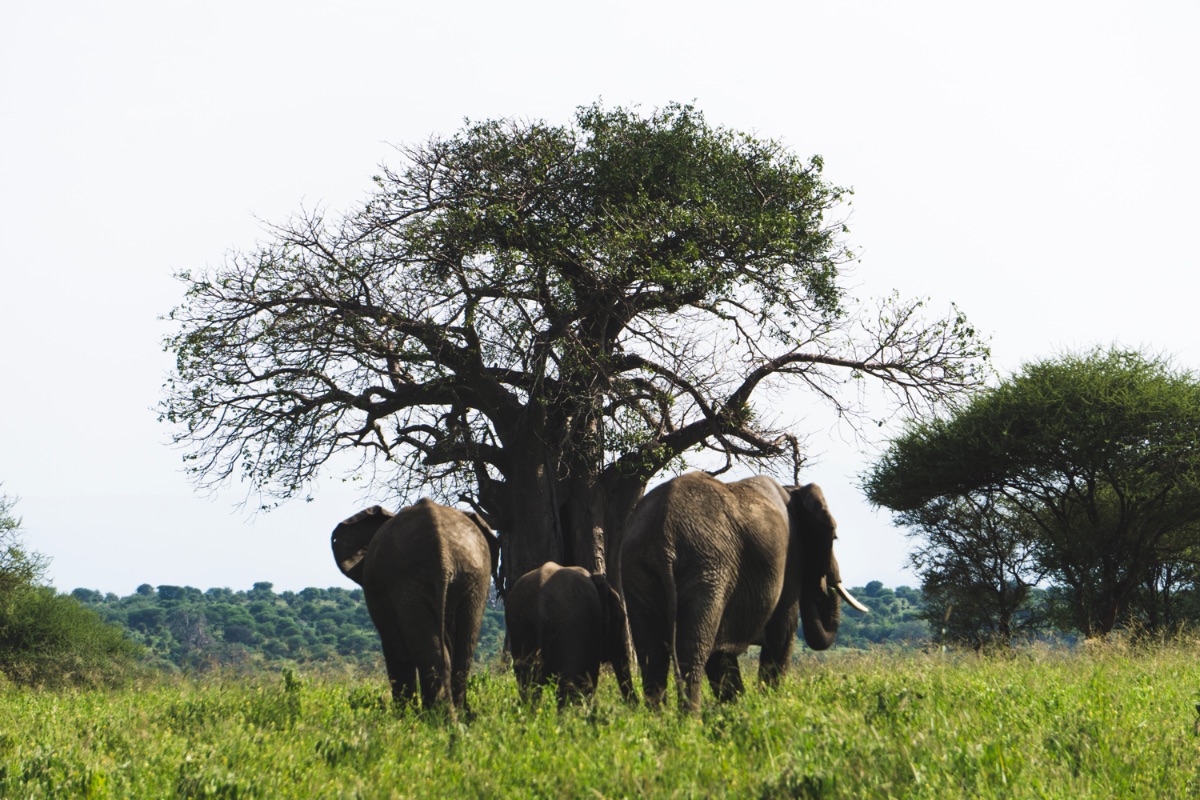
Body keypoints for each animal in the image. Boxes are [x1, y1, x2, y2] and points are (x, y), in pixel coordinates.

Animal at [331, 501, 499, 719]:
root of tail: (442, 552)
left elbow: (395, 650)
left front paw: (403, 717)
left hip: (409, 581)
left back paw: (436, 717)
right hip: (470, 580)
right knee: (462, 649)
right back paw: (452, 717)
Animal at [504, 563, 638, 705]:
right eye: (620, 621)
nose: (635, 704)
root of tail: (540, 608)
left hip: (523, 628)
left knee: (529, 686)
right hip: (572, 628)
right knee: (572, 689)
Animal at [619, 472, 864, 710]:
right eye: (834, 538)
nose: (827, 584)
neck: (792, 490)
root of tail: (663, 541)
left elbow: (722, 655)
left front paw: (736, 708)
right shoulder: (791, 560)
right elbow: (783, 632)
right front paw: (770, 703)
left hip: (638, 569)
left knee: (651, 653)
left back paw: (660, 719)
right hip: (707, 568)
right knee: (693, 650)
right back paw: (690, 719)